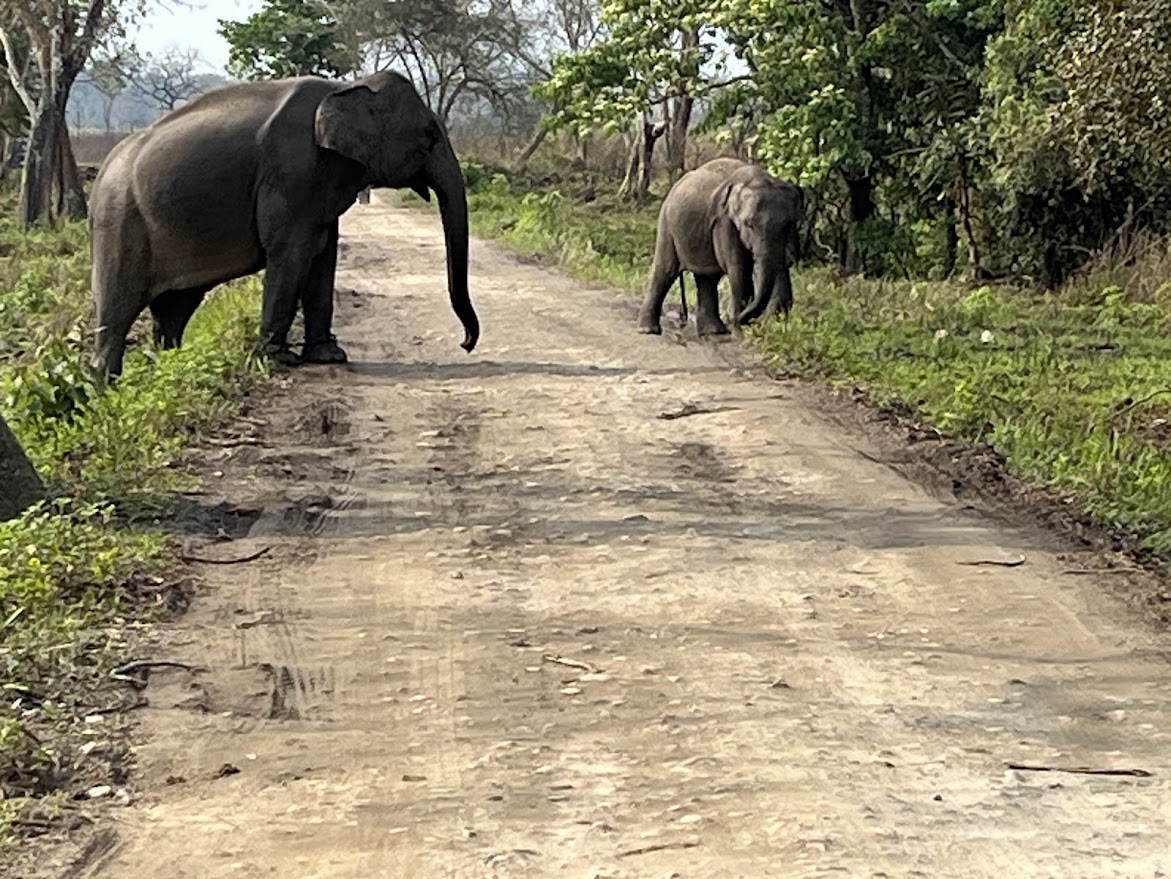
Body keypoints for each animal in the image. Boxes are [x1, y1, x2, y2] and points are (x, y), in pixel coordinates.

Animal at [88, 71, 479, 377]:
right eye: (429, 135)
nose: (465, 344)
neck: (347, 87)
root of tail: (102, 172)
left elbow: (323, 257)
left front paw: (328, 357)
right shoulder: (291, 171)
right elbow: (292, 254)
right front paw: (278, 360)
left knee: (173, 310)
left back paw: (169, 370)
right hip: (119, 225)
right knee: (116, 313)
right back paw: (105, 389)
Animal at [638, 157, 803, 336]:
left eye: (789, 224)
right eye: (749, 225)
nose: (740, 319)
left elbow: (782, 264)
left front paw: (773, 324)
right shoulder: (724, 221)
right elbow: (738, 268)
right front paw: (743, 330)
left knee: (707, 278)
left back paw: (714, 331)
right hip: (667, 224)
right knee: (665, 270)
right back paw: (648, 330)